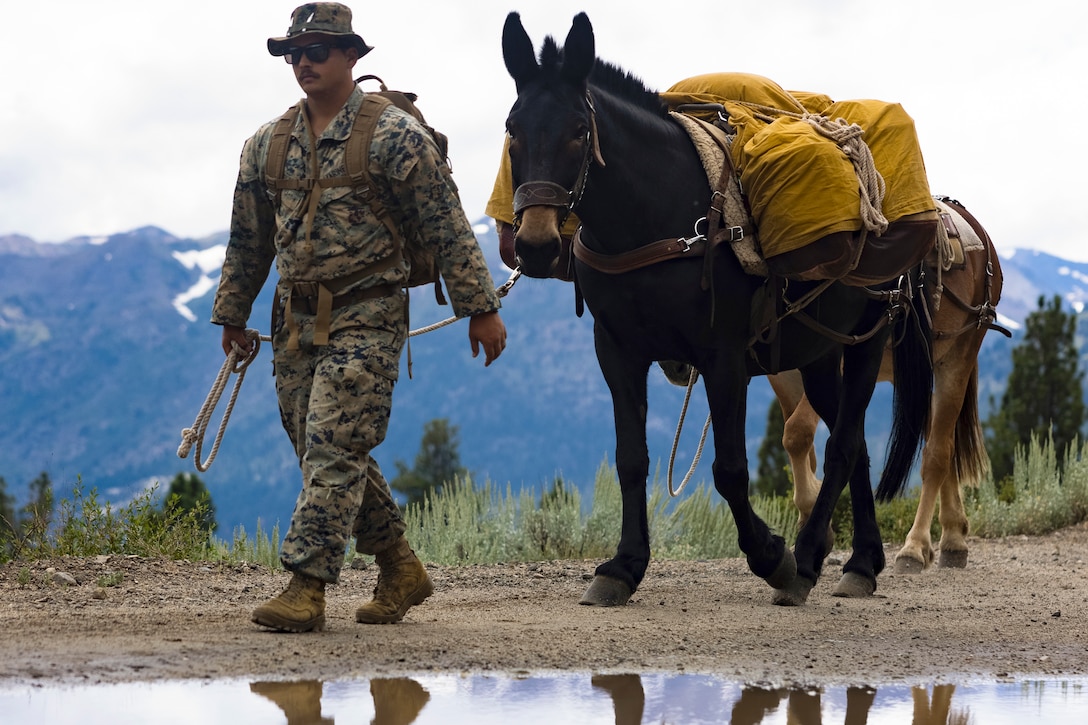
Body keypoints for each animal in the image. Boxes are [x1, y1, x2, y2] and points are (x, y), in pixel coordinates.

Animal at [770, 195, 1005, 570]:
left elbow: (798, 433)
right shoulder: (785, 376)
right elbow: (801, 447)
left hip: (958, 358)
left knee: (938, 454)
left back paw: (915, 546)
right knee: (942, 442)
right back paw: (952, 537)